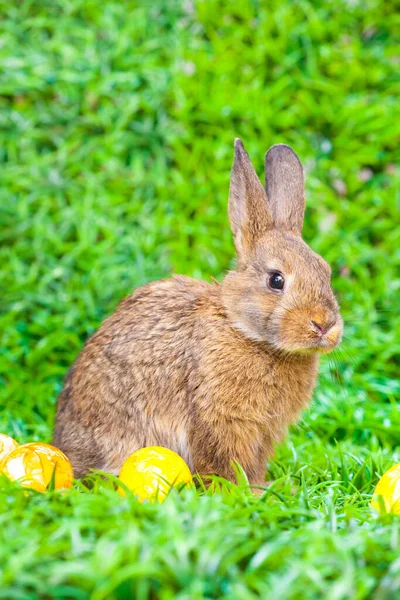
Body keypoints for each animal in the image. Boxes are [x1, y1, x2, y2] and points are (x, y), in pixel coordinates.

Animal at [53, 141, 342, 488]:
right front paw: (243, 491)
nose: (325, 324)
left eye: (325, 272)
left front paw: (259, 486)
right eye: (276, 280)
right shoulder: (220, 419)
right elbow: (224, 461)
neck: (245, 331)